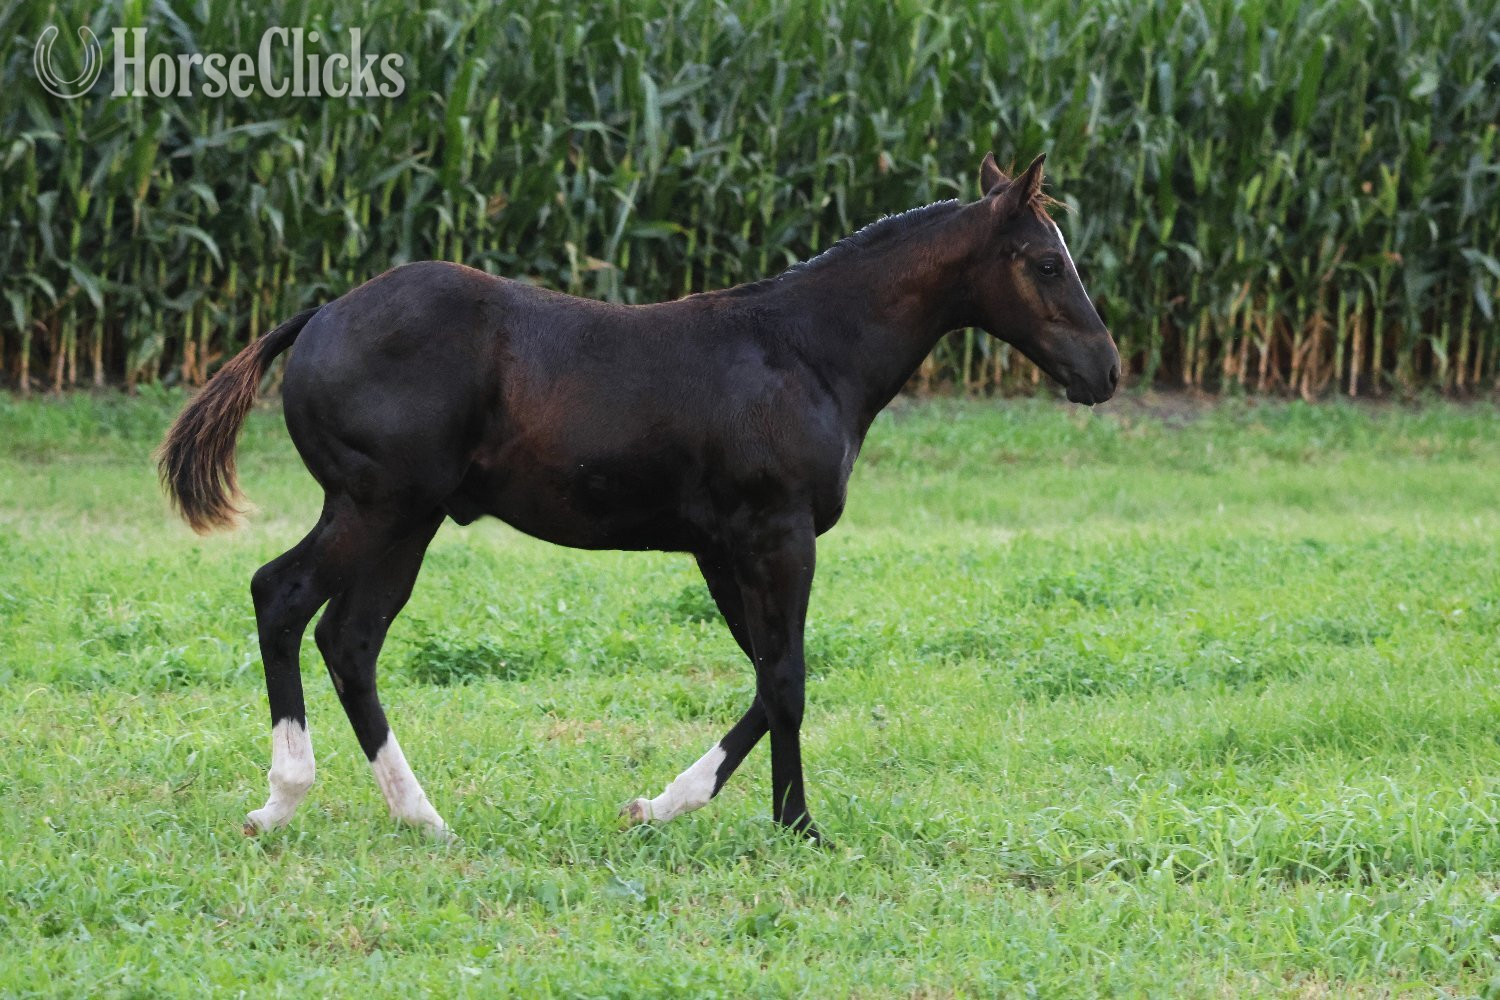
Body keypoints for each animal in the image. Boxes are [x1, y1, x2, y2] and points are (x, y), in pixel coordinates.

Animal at [158, 152, 1119, 842]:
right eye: (1045, 261)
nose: (1106, 372)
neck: (803, 351)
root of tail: (317, 318)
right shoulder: (778, 534)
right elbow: (788, 678)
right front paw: (792, 825)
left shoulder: (722, 548)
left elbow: (766, 673)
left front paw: (676, 807)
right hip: (375, 507)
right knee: (282, 598)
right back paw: (284, 799)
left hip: (406, 520)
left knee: (350, 640)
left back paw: (421, 816)